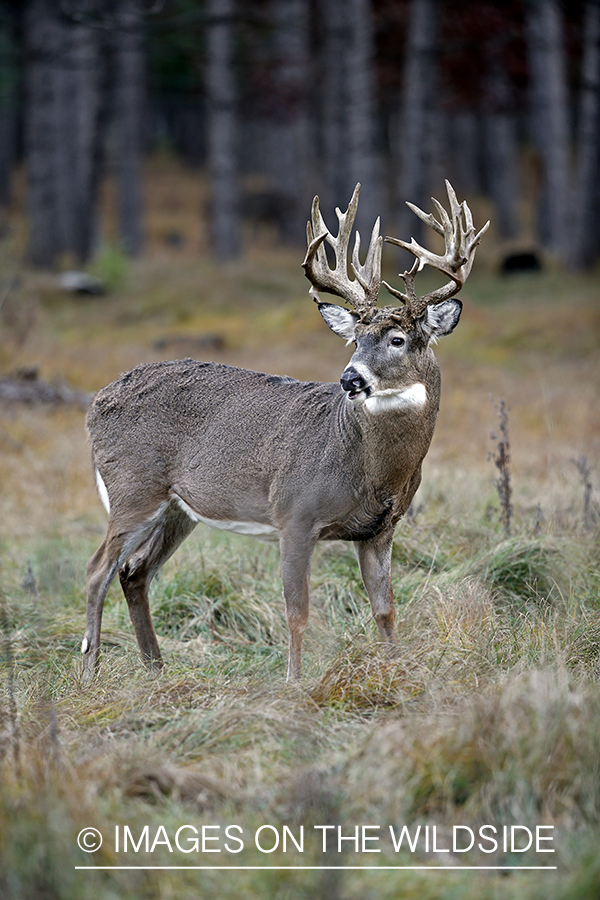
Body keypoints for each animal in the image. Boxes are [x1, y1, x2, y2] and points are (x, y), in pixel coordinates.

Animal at [82, 183, 488, 680]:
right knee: (97, 570)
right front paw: (294, 683)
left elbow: (385, 610)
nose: (349, 378)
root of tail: (96, 402)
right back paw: (90, 672)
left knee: (134, 572)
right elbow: (297, 612)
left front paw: (396, 672)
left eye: (397, 340)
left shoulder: (381, 530)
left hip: (177, 509)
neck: (372, 470)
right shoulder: (295, 514)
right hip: (133, 488)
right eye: (355, 339)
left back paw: (157, 669)